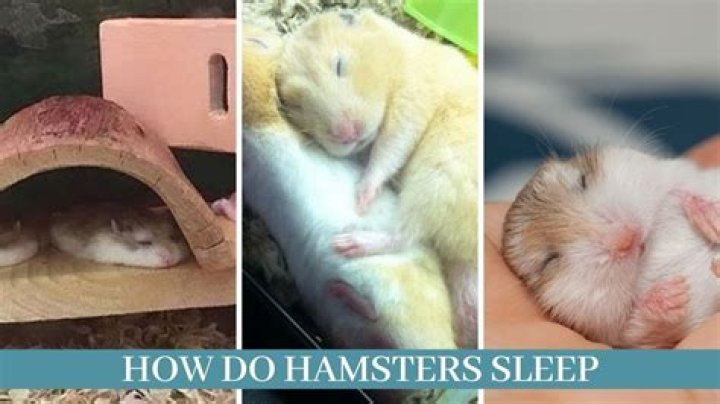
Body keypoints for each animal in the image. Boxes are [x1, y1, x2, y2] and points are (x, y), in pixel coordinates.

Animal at [503, 146, 720, 348]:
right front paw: (676, 292)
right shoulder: (615, 334)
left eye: (583, 181)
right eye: (549, 260)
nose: (628, 237)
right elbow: (638, 326)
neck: (649, 246)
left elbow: (689, 189)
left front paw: (708, 218)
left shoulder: (678, 174)